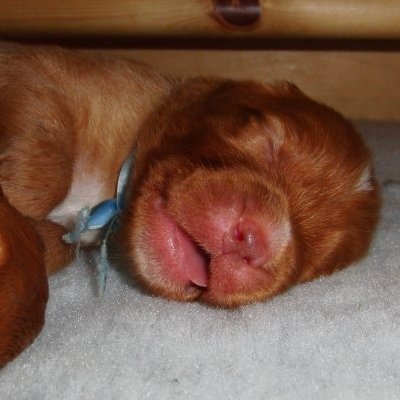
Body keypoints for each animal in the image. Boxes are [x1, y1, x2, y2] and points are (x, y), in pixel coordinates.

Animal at [0, 43, 380, 366]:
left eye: (315, 256)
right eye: (269, 140)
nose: (253, 241)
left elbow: (58, 245)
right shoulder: (34, 75)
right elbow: (47, 168)